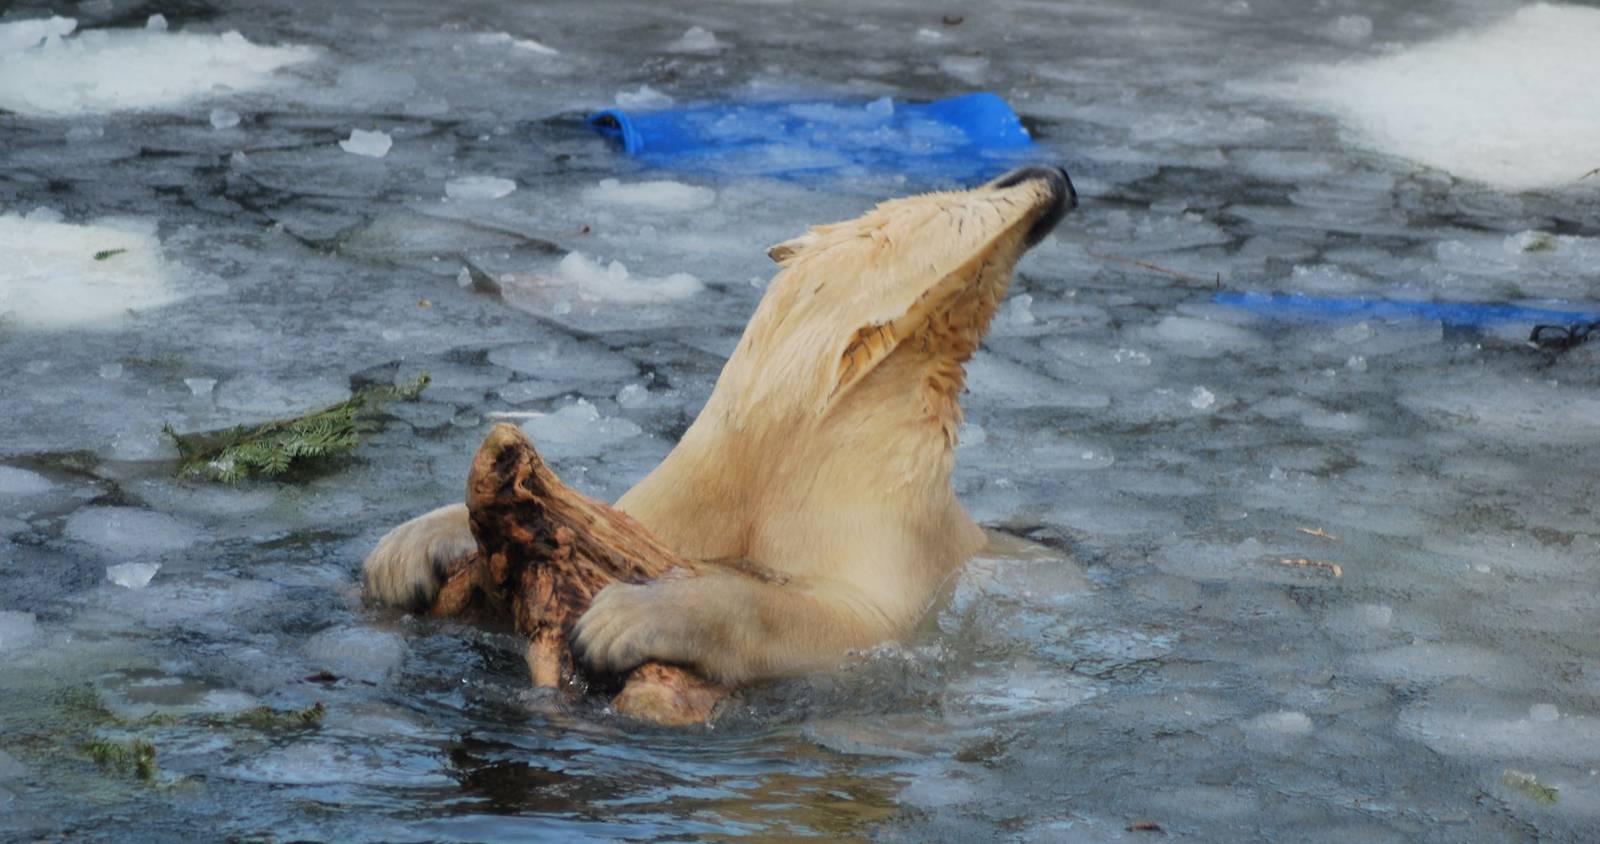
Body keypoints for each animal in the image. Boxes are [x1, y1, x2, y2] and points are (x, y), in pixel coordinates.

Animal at [363, 165, 1077, 686]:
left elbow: (850, 621)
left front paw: (622, 620)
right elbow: (617, 519)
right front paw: (407, 551)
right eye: (983, 189)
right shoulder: (694, 487)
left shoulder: (896, 539)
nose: (1056, 179)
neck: (793, 440)